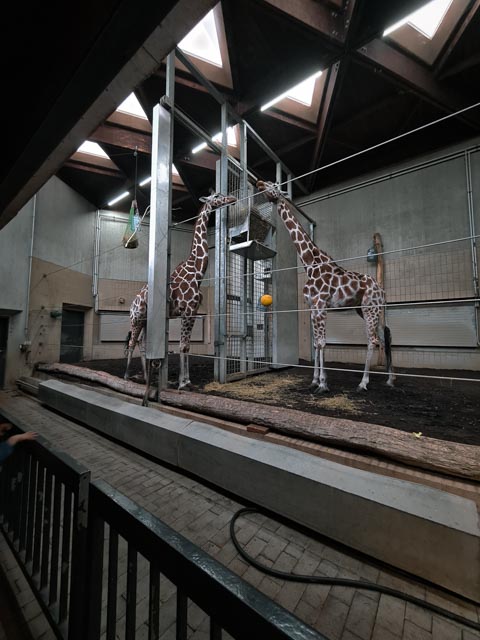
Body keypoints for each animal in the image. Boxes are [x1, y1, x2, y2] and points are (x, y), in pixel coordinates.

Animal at [124, 191, 237, 389]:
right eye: (216, 195)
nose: (232, 198)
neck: (197, 272)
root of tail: (131, 305)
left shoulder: (193, 311)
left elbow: (187, 346)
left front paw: (186, 380)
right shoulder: (188, 310)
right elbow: (183, 346)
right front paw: (183, 383)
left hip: (146, 320)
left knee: (143, 343)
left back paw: (145, 378)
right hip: (136, 318)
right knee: (131, 342)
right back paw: (126, 376)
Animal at [256, 180, 394, 392]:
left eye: (275, 186)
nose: (260, 183)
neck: (310, 263)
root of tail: (382, 291)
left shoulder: (321, 304)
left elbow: (321, 342)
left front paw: (322, 383)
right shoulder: (312, 306)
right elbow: (315, 344)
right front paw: (314, 380)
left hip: (370, 308)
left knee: (372, 340)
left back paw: (363, 383)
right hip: (367, 309)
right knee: (384, 335)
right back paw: (390, 379)